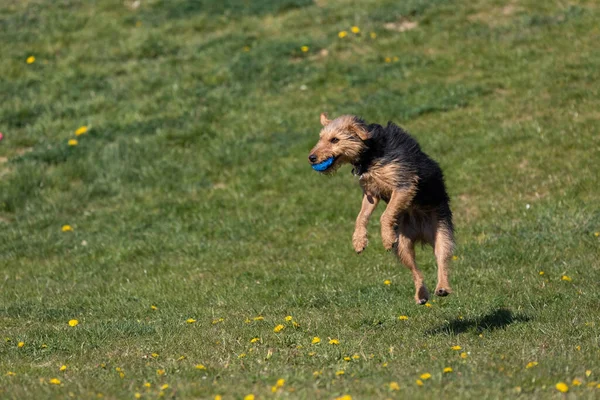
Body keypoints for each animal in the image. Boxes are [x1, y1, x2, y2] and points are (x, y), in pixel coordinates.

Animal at [310, 114, 454, 304]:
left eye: (335, 139)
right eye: (320, 138)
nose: (311, 157)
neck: (370, 154)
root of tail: (421, 233)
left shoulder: (403, 186)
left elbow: (386, 214)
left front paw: (386, 238)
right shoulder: (371, 193)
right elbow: (361, 216)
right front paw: (359, 241)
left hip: (441, 231)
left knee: (441, 259)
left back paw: (443, 287)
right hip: (402, 246)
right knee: (415, 270)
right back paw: (421, 295)